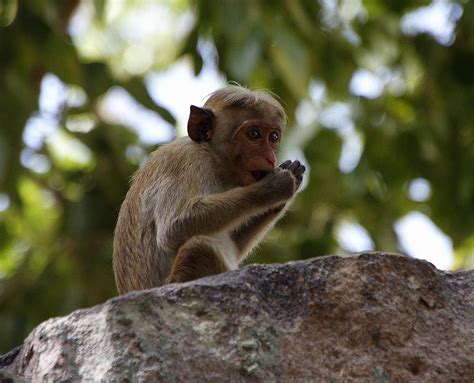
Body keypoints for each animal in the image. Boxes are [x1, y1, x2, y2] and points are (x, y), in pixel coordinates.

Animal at [111, 85, 306, 294]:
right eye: (254, 134)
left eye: (273, 137)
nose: (270, 158)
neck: (213, 157)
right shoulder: (188, 161)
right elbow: (173, 229)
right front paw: (273, 188)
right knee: (198, 248)